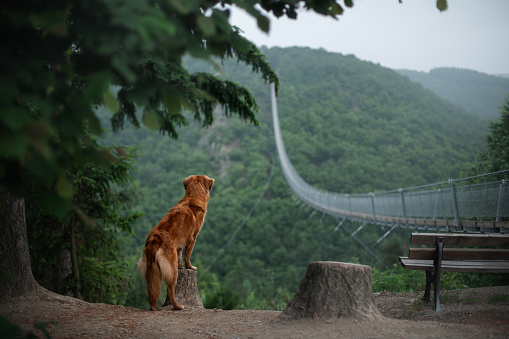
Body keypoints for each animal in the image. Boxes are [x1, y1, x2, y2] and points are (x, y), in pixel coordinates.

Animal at [136, 175, 213, 310]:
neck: (192, 198)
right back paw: (178, 306)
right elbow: (187, 255)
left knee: (152, 291)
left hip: (151, 270)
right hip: (171, 270)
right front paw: (190, 267)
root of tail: (154, 239)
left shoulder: (180, 243)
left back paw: (154, 307)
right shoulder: (192, 238)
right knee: (170, 289)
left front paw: (181, 265)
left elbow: (180, 255)